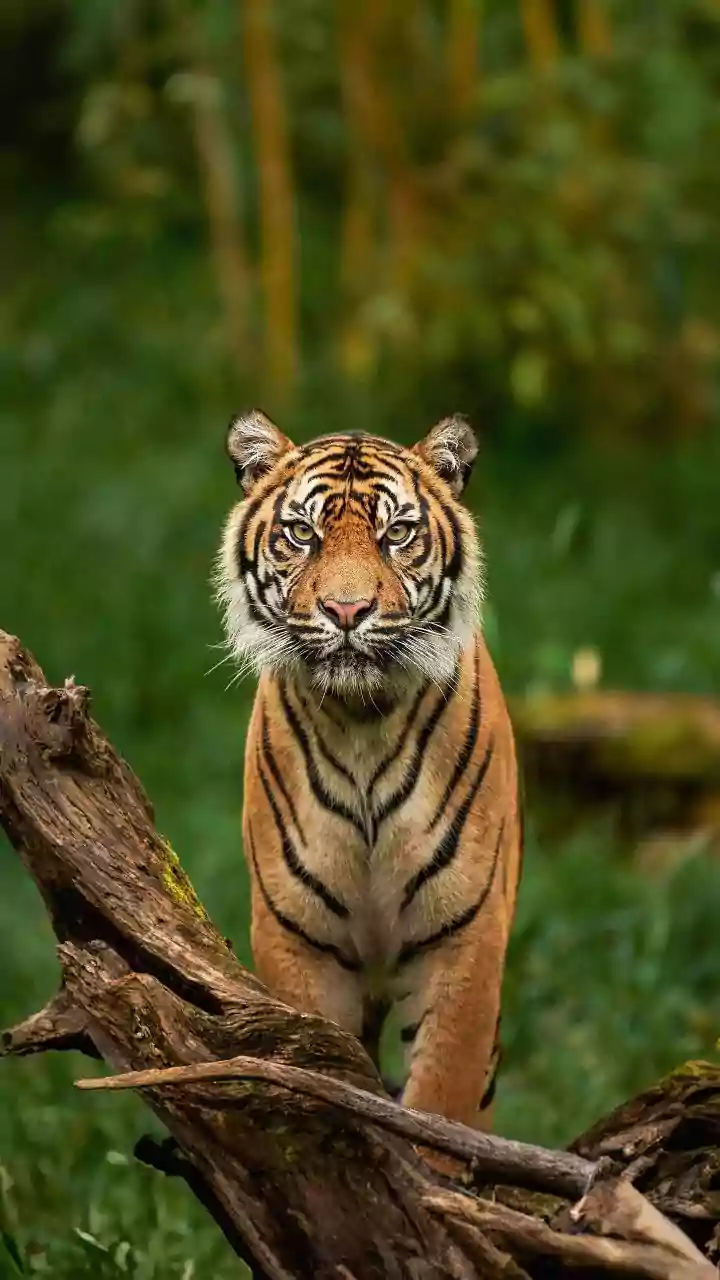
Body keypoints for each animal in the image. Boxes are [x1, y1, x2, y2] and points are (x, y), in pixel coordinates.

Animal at [215, 409, 523, 1136]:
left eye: (397, 534)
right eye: (303, 533)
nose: (348, 611)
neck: (361, 723)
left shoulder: (463, 939)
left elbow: (443, 1102)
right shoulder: (299, 939)